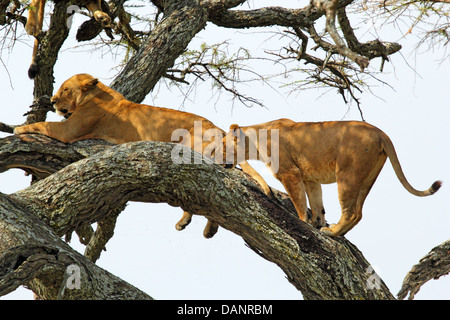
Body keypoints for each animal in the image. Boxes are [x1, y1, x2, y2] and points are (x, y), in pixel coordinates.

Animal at [14, 73, 270, 238]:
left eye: (66, 89)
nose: (53, 100)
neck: (98, 94)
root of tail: (215, 126)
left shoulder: (68, 130)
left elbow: (43, 125)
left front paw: (18, 129)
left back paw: (186, 221)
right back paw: (210, 229)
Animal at [223, 119, 442, 236]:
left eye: (223, 145)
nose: (216, 158)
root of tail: (381, 133)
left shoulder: (290, 173)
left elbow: (299, 202)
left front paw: (304, 223)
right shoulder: (310, 179)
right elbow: (316, 203)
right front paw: (317, 222)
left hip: (347, 175)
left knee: (351, 212)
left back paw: (333, 232)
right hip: (366, 180)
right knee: (359, 212)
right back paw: (339, 232)